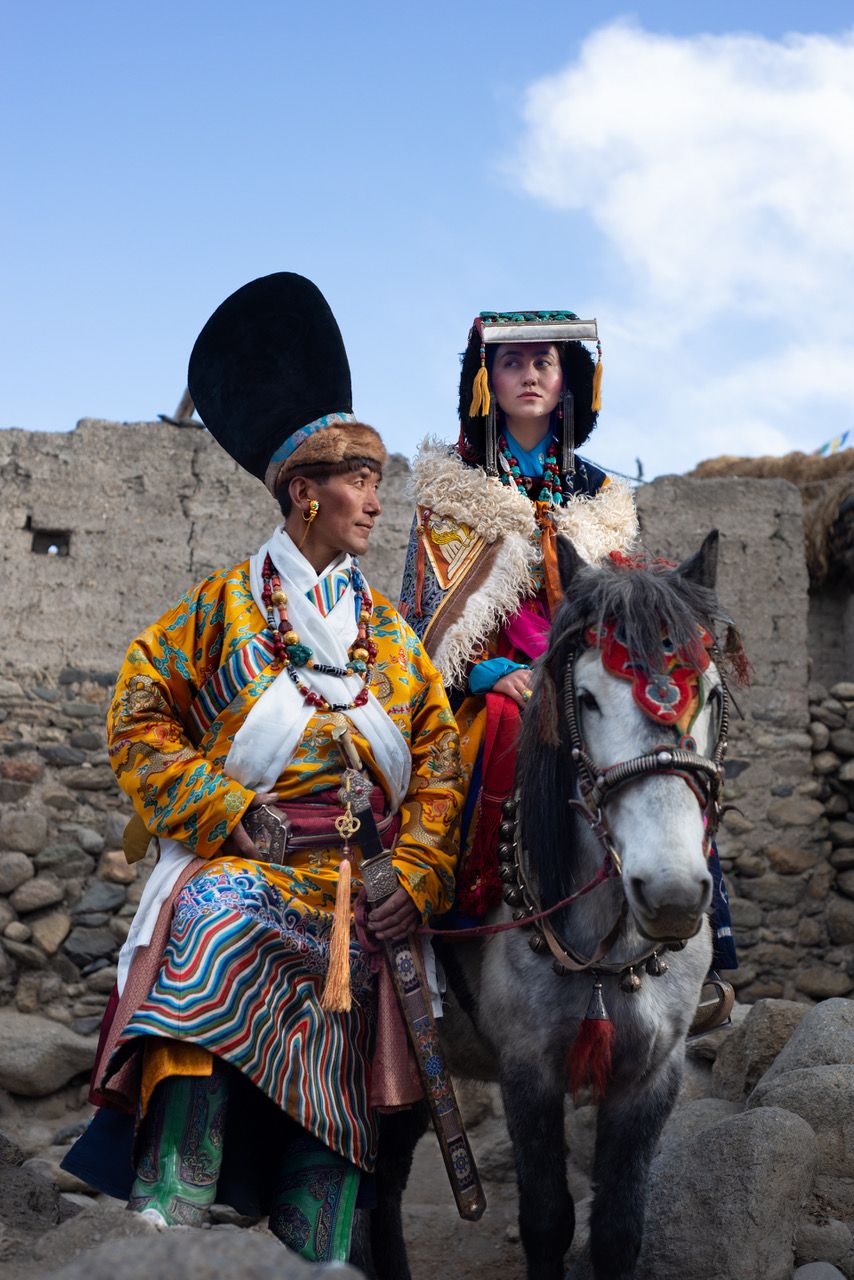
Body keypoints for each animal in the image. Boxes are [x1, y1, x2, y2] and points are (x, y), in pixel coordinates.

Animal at [358, 529, 737, 1280]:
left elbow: (619, 1227)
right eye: (585, 698)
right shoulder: (527, 1070)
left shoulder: (652, 1074)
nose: (672, 893)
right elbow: (546, 1220)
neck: (606, 949)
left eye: (710, 693)